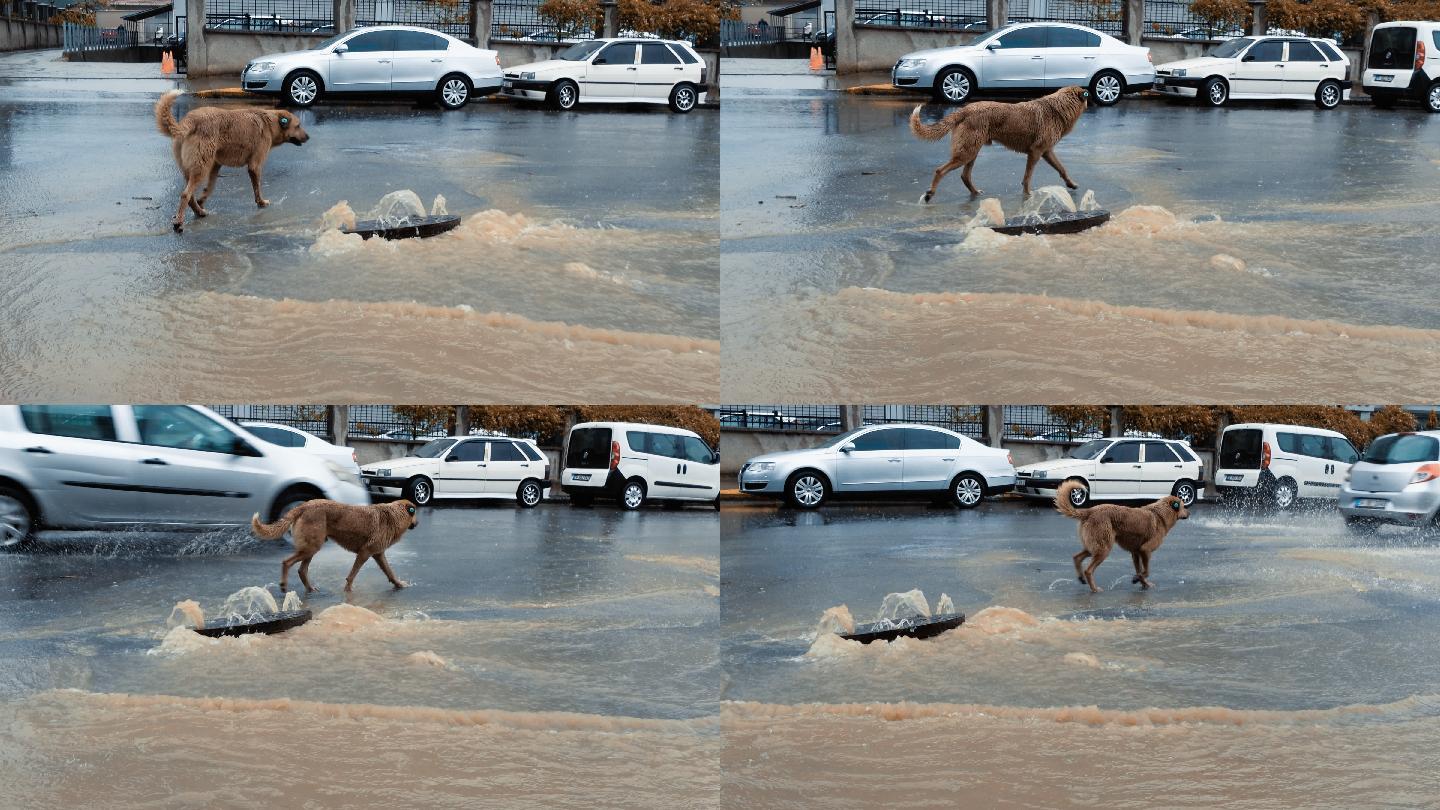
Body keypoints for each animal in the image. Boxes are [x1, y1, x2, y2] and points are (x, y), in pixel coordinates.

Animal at [153, 89, 308, 232]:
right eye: (298, 126)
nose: (308, 137)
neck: (269, 122)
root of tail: (190, 120)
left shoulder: (216, 165)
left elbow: (210, 187)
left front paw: (202, 200)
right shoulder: (255, 165)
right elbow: (257, 187)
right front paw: (261, 203)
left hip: (191, 169)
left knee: (189, 196)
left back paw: (199, 212)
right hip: (201, 168)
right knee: (185, 194)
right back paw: (179, 223)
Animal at [247, 495, 414, 590]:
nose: (416, 523)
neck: (394, 515)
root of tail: (304, 505)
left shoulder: (378, 554)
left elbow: (390, 572)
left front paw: (399, 584)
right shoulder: (365, 553)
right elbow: (352, 575)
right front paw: (348, 590)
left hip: (311, 548)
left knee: (302, 570)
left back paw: (310, 589)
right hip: (311, 548)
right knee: (287, 562)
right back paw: (284, 585)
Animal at [910, 85, 1088, 200]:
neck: (1057, 108)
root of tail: (965, 110)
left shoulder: (1047, 152)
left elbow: (1062, 169)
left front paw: (1071, 184)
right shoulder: (1036, 152)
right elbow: (1027, 177)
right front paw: (1027, 195)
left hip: (972, 153)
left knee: (965, 175)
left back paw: (975, 193)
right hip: (966, 153)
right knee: (940, 170)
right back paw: (930, 194)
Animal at [1054, 475, 1186, 590]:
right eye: (1184, 506)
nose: (1189, 513)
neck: (1160, 515)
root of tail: (1090, 511)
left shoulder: (1136, 553)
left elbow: (1140, 570)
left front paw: (1143, 583)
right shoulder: (1145, 550)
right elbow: (1146, 571)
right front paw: (1137, 579)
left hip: (1094, 546)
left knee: (1077, 557)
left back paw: (1081, 578)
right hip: (1103, 549)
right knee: (1088, 570)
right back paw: (1095, 589)